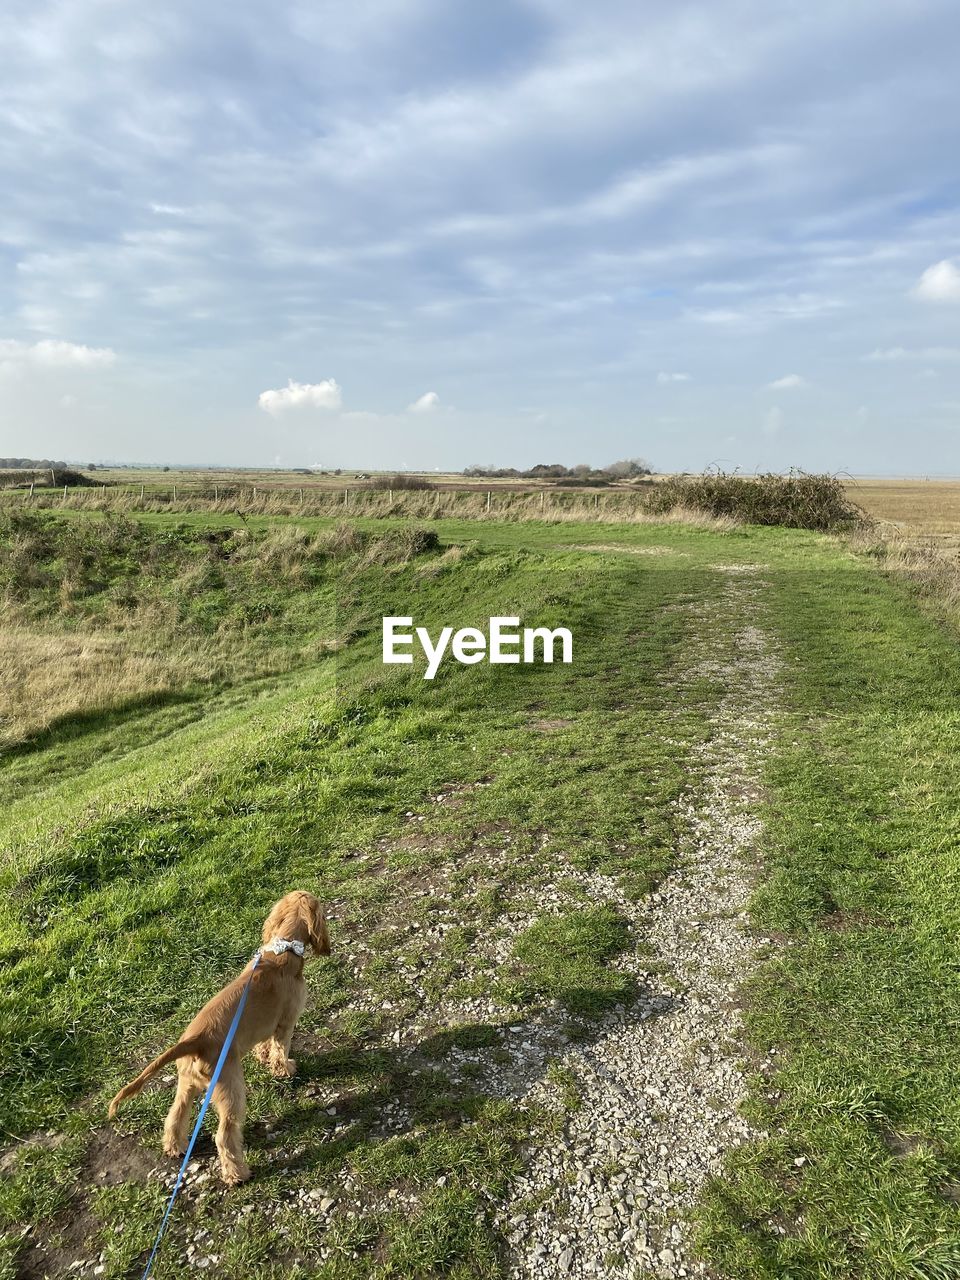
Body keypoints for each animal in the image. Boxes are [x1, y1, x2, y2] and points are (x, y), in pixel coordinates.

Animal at [109, 890, 330, 1177]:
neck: (282, 950)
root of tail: (194, 1041)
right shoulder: (286, 1022)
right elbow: (280, 1049)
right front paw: (286, 1069)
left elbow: (264, 1045)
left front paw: (263, 1057)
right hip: (230, 1088)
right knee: (223, 1136)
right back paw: (238, 1174)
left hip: (186, 1083)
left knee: (174, 1116)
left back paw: (175, 1147)